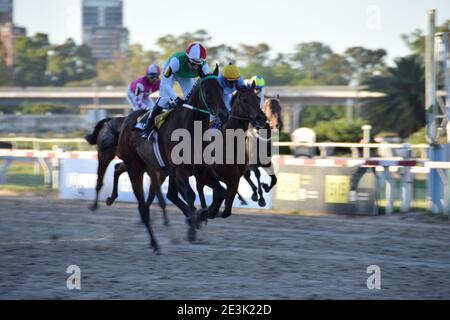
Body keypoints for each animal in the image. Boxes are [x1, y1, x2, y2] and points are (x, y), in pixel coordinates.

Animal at [117, 65, 229, 250]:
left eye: (221, 89)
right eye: (206, 91)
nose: (223, 115)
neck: (191, 131)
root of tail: (127, 121)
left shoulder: (202, 170)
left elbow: (221, 192)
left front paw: (203, 214)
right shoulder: (180, 170)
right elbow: (190, 195)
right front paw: (194, 222)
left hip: (159, 170)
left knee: (168, 195)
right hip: (136, 167)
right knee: (146, 204)